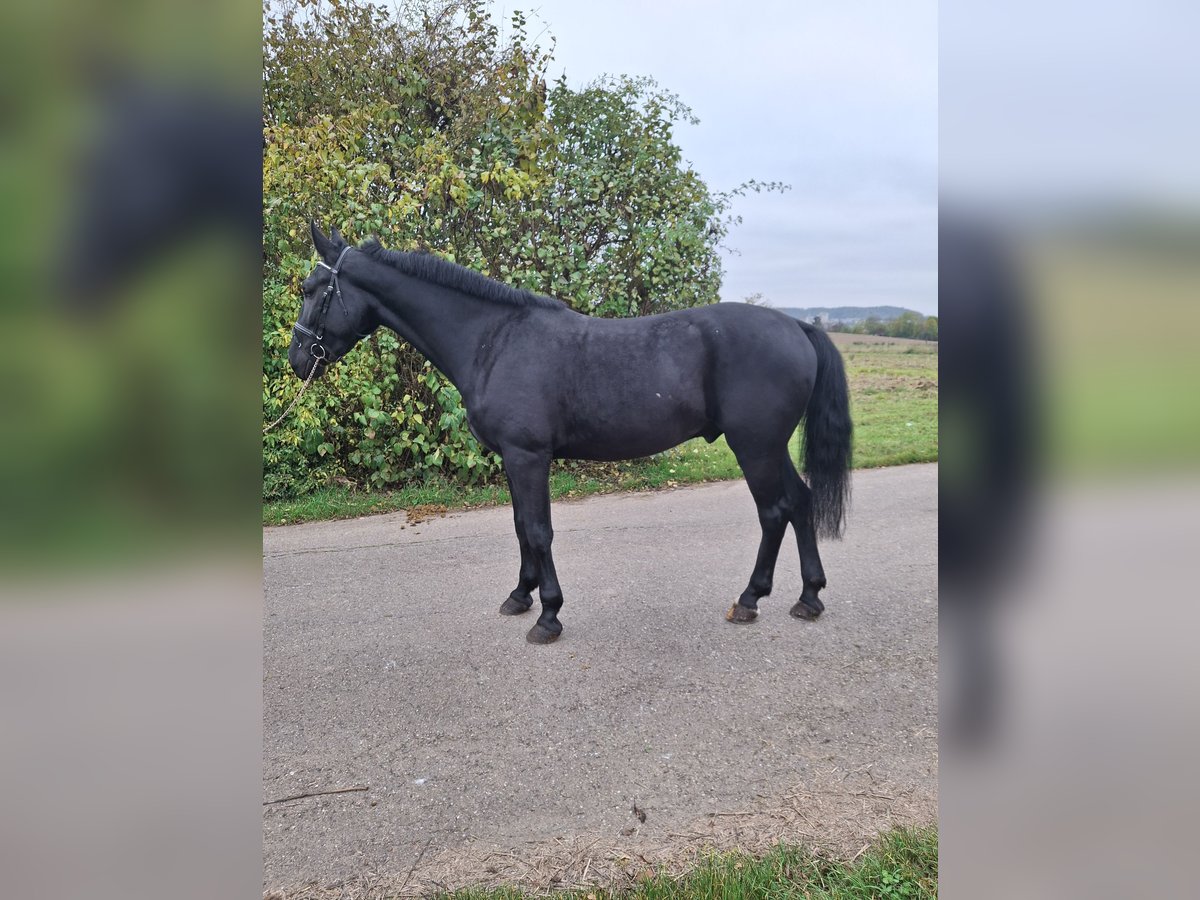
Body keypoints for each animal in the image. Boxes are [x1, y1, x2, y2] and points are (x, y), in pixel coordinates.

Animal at [290, 226, 854, 648]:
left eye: (314, 289)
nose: (297, 360)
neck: (492, 341)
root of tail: (797, 327)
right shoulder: (513, 459)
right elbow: (521, 526)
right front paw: (520, 597)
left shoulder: (528, 457)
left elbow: (539, 531)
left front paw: (548, 616)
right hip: (770, 446)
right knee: (800, 502)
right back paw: (808, 597)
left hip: (754, 446)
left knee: (774, 511)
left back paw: (751, 599)